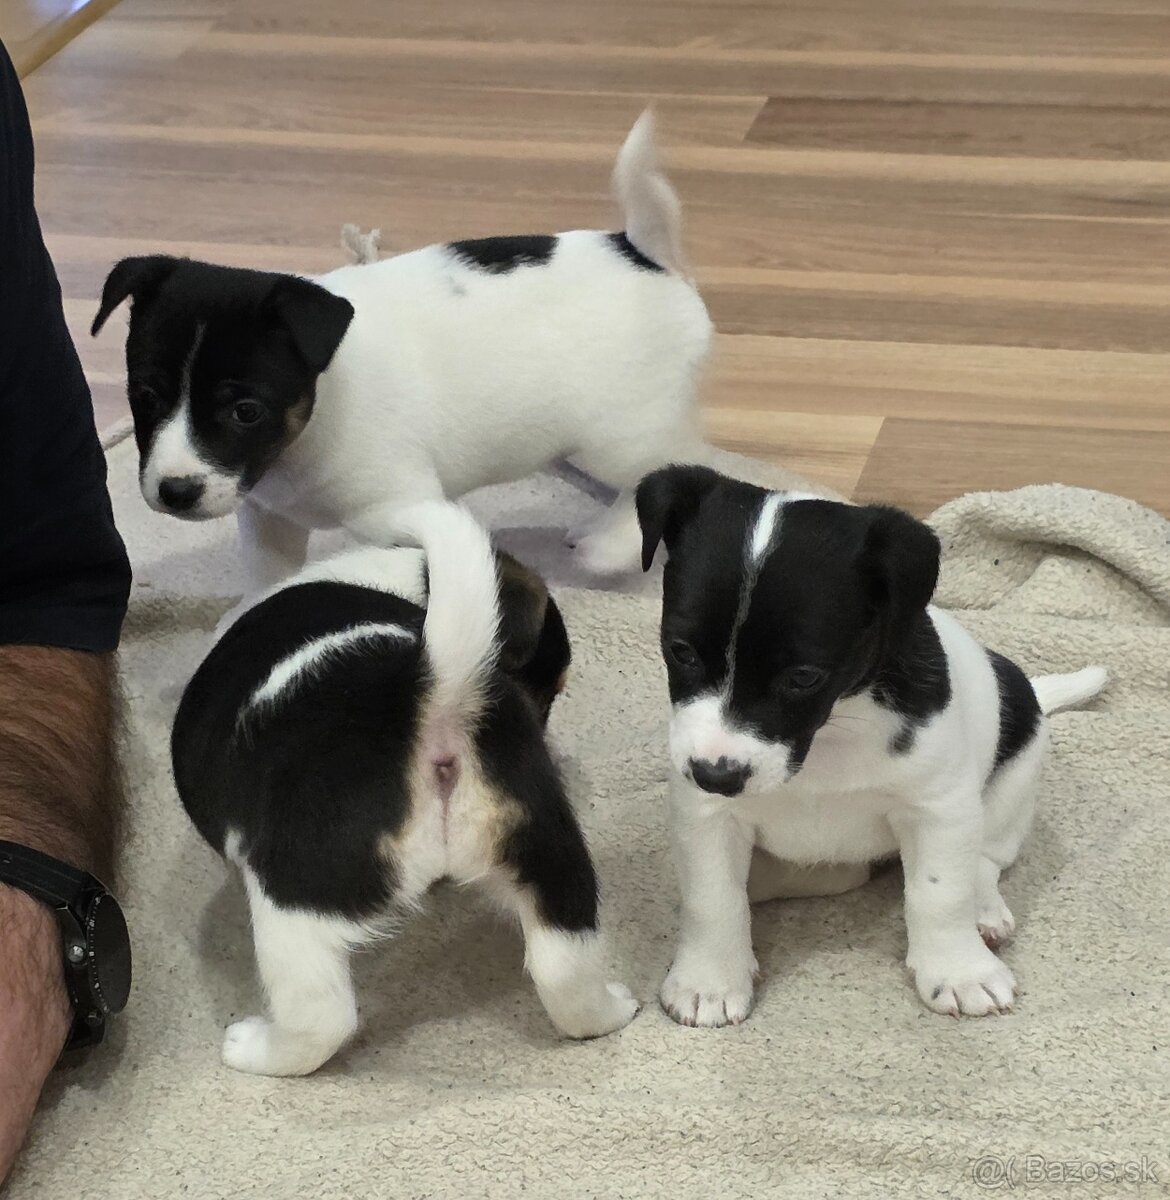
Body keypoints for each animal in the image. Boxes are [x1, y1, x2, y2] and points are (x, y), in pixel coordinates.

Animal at [91, 111, 712, 588]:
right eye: (145, 395)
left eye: (246, 410)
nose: (176, 491)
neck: (315, 421)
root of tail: (645, 253)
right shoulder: (270, 520)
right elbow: (268, 581)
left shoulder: (402, 513)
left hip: (618, 433)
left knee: (667, 464)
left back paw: (609, 546)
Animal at [171, 502, 637, 1076]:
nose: (542, 731)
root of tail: (433, 696)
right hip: (551, 857)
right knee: (563, 969)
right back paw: (612, 1010)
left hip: (297, 898)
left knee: (321, 1019)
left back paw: (253, 1049)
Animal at [635, 465, 1107, 1026]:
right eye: (680, 651)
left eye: (804, 677)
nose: (715, 775)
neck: (831, 733)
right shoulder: (708, 815)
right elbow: (712, 898)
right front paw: (709, 978)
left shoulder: (938, 809)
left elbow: (940, 893)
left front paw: (959, 970)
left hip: (1016, 774)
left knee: (986, 860)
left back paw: (984, 909)